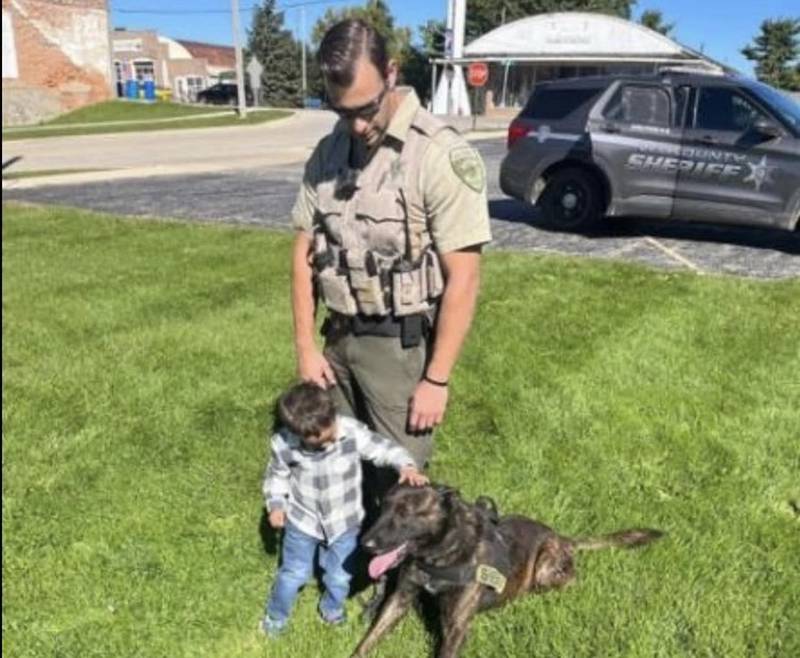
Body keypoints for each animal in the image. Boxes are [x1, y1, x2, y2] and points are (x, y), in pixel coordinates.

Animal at [354, 482, 660, 656]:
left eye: (405, 513)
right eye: (382, 507)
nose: (365, 543)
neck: (439, 553)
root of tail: (562, 538)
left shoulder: (457, 626)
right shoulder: (400, 599)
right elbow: (367, 640)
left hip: (545, 568)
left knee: (572, 577)